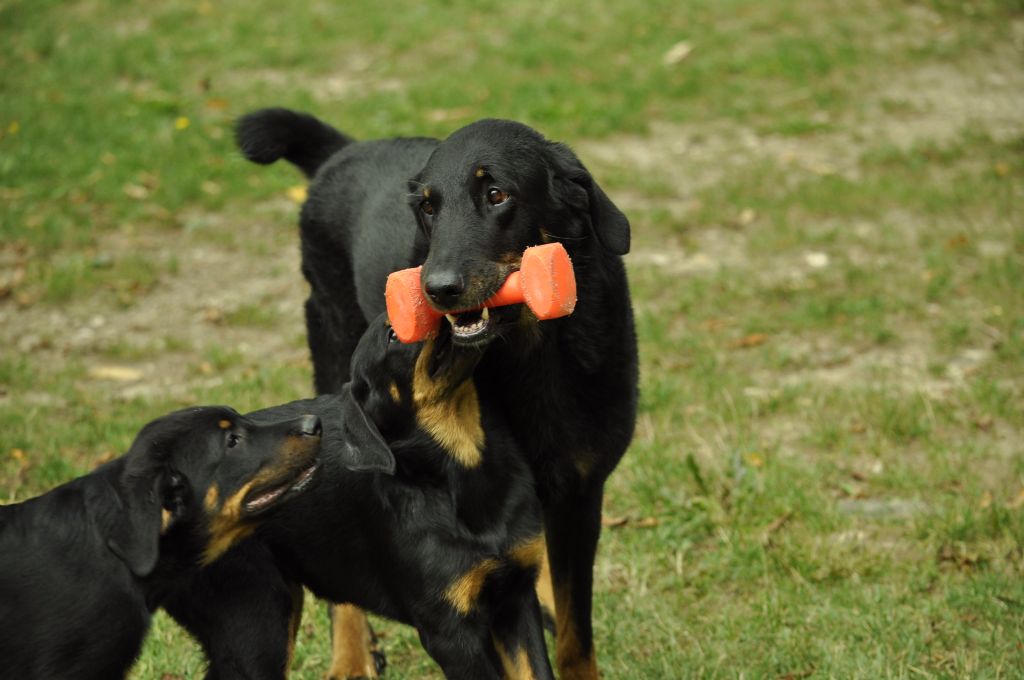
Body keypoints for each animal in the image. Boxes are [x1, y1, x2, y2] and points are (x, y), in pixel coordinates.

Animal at [237, 109, 638, 675]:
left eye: (496, 194)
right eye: (428, 207)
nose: (436, 289)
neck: (531, 352)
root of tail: (342, 150)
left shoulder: (580, 495)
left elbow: (574, 635)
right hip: (332, 349)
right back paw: (351, 656)